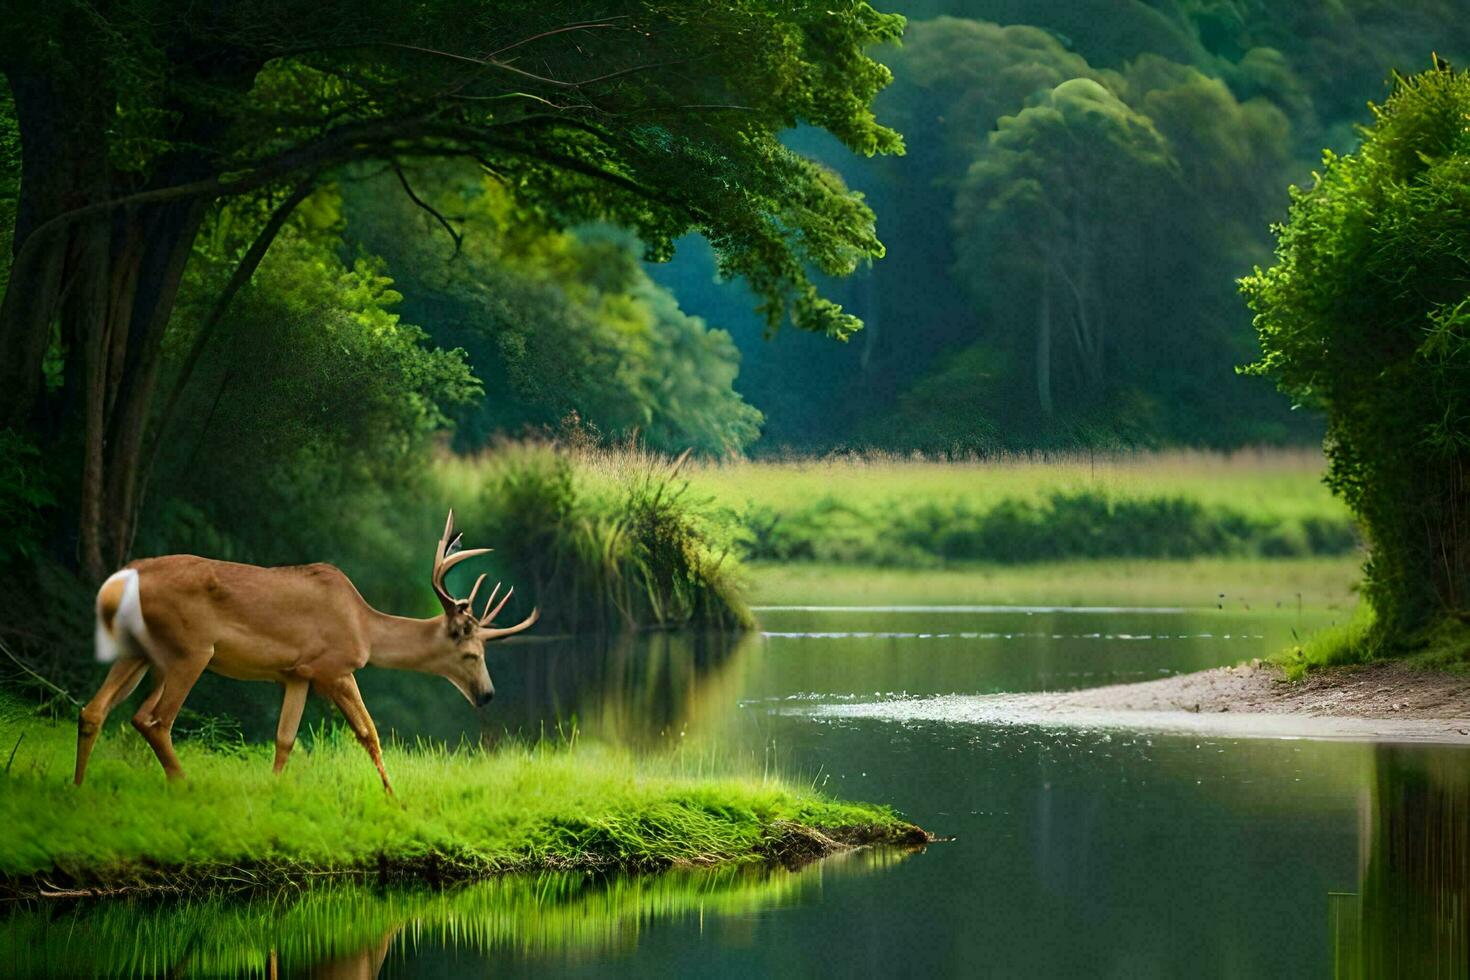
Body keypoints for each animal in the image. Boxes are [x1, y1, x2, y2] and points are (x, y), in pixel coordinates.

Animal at [71, 517, 535, 793]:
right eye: (472, 654)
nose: (487, 695)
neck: (363, 627)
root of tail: (123, 579)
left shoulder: (295, 673)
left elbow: (285, 738)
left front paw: (275, 792)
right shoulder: (333, 667)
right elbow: (370, 734)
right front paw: (394, 797)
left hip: (141, 652)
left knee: (97, 711)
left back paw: (77, 788)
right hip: (191, 650)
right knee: (156, 720)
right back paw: (185, 783)